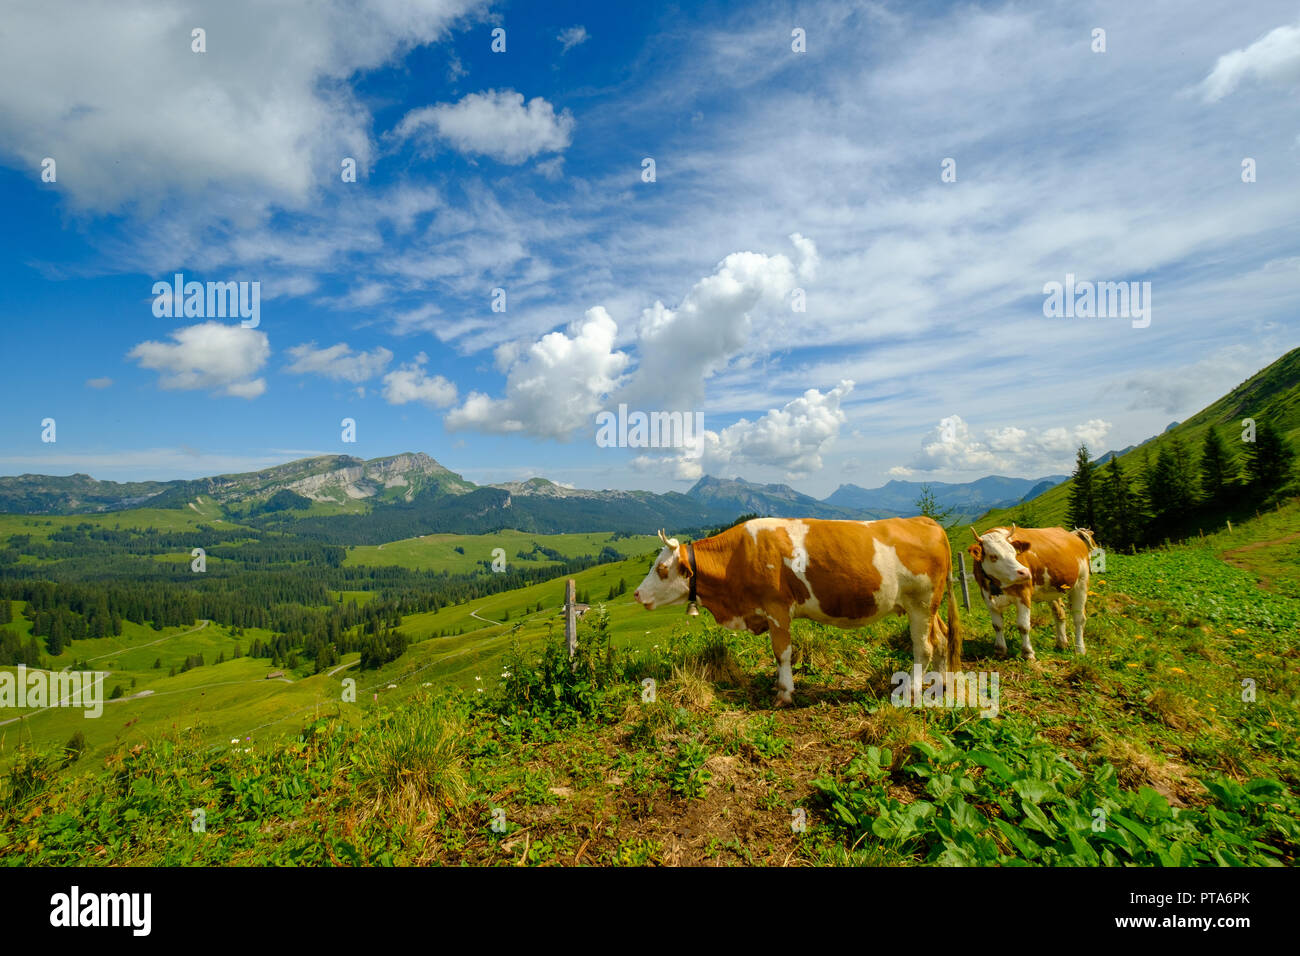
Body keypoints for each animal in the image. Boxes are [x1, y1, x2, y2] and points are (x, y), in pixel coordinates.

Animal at [633, 516, 960, 707]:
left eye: (661, 569)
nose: (636, 594)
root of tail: (926, 521)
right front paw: (779, 686)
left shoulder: (777, 607)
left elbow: (782, 652)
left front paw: (785, 693)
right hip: (928, 606)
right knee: (942, 638)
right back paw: (941, 685)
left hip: (921, 602)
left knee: (924, 647)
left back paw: (913, 691)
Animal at [966, 524, 1095, 660]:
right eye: (993, 556)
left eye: (1014, 553)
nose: (1025, 572)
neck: (998, 583)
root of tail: (1073, 535)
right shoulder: (987, 598)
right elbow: (997, 625)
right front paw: (999, 651)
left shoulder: (1023, 594)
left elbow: (1023, 626)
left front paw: (1028, 653)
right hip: (1052, 589)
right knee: (1059, 613)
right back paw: (1062, 644)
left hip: (1081, 583)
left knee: (1079, 619)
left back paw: (1080, 649)